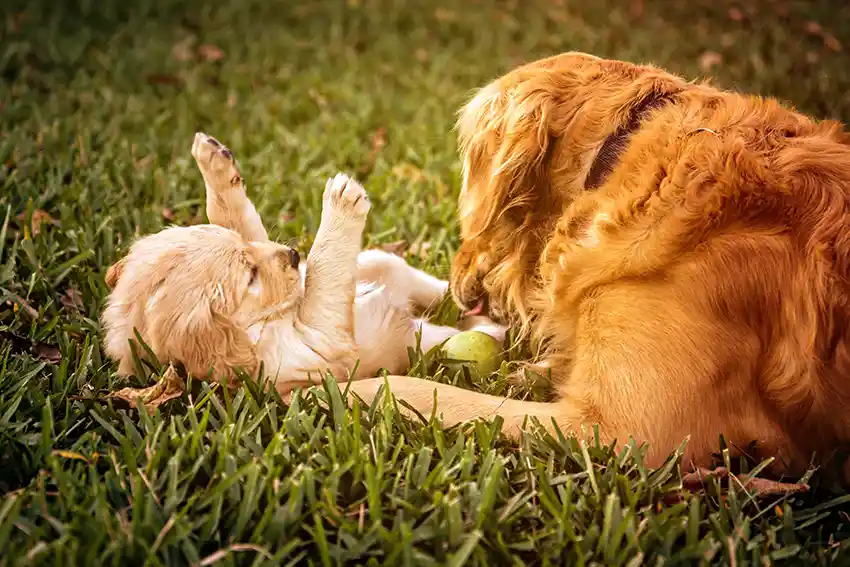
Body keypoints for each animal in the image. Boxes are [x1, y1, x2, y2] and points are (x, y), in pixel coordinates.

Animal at [105, 134, 504, 392]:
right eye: (250, 277)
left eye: (248, 253)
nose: (295, 256)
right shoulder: (317, 348)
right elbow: (322, 285)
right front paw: (341, 202)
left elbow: (237, 218)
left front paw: (215, 165)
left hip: (379, 261)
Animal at [342, 52, 848, 480]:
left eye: (468, 174)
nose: (458, 277)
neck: (618, 158)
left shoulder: (628, 433)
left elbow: (414, 390)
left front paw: (343, 389)